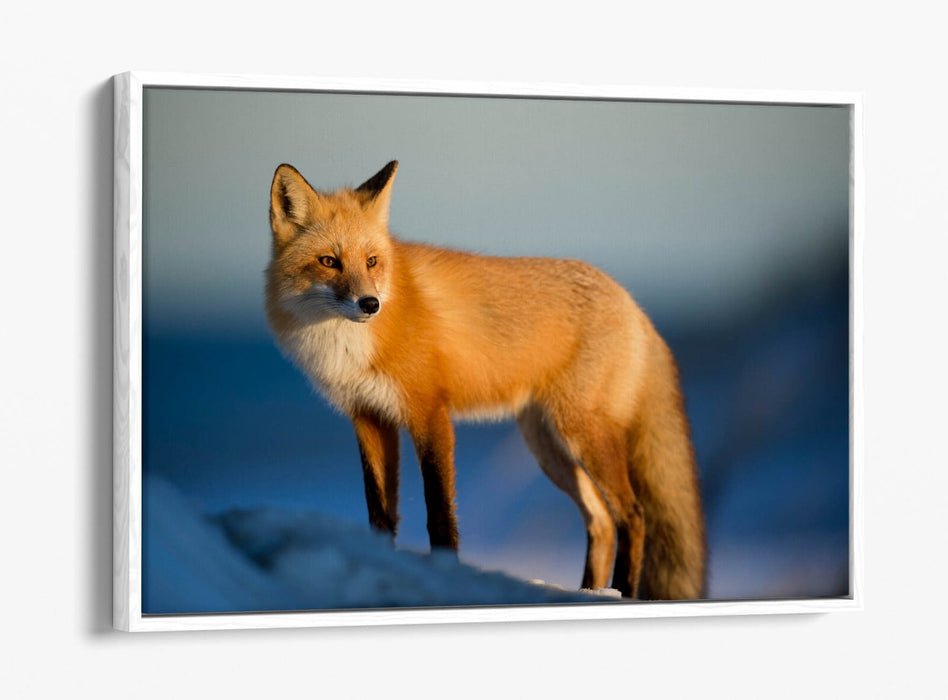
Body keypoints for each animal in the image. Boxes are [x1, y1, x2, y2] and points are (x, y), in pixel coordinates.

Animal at [265, 161, 706, 600]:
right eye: (329, 261)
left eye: (372, 261)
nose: (370, 304)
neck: (349, 345)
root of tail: (633, 304)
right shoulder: (369, 417)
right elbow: (380, 514)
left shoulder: (429, 413)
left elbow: (440, 514)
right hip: (549, 447)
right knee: (600, 522)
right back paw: (588, 592)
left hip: (582, 434)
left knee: (632, 515)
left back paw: (622, 593)